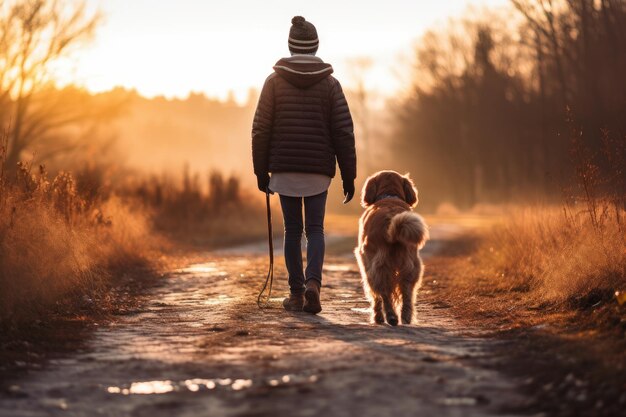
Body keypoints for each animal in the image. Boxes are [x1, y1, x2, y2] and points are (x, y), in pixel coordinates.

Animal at [354, 170, 426, 324]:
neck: (390, 196)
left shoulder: (366, 262)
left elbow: (376, 296)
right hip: (411, 265)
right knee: (407, 293)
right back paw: (405, 317)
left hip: (378, 267)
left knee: (383, 293)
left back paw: (389, 316)